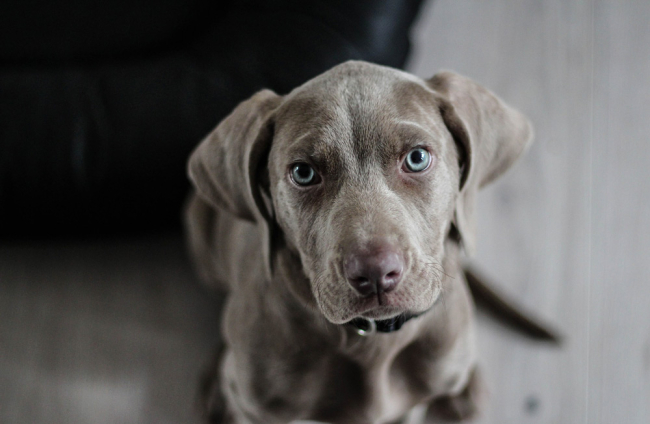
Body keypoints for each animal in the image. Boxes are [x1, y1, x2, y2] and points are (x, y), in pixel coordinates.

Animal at [182, 60, 532, 424]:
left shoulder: (410, 406)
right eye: (303, 173)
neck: (373, 342)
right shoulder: (258, 412)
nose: (376, 273)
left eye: (417, 158)